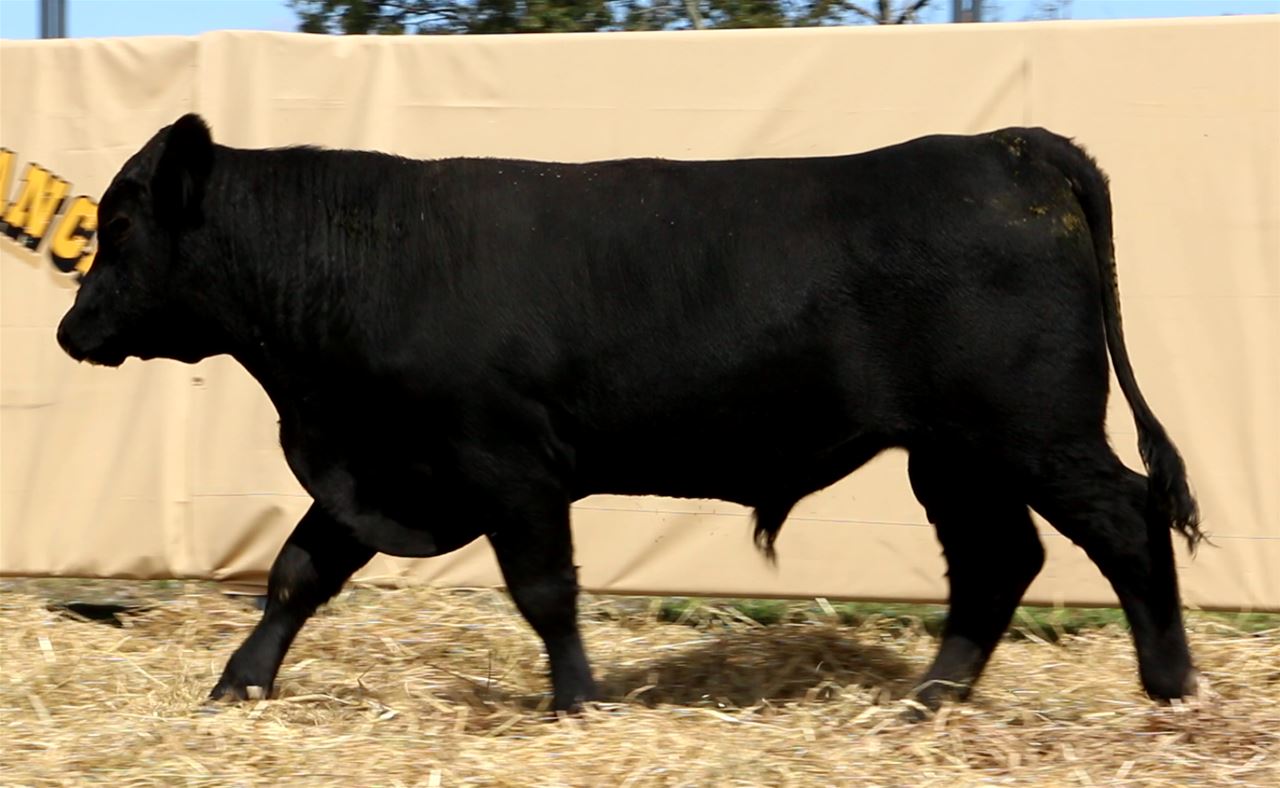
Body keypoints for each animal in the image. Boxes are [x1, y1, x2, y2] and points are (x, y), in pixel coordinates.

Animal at [57, 113, 1203, 716]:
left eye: (119, 223)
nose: (71, 328)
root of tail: (1006, 146)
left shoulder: (508, 464)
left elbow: (546, 592)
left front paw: (577, 701)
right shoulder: (382, 465)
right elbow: (297, 571)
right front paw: (236, 685)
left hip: (1035, 433)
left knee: (1124, 518)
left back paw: (1170, 684)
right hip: (954, 453)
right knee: (996, 560)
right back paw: (929, 698)